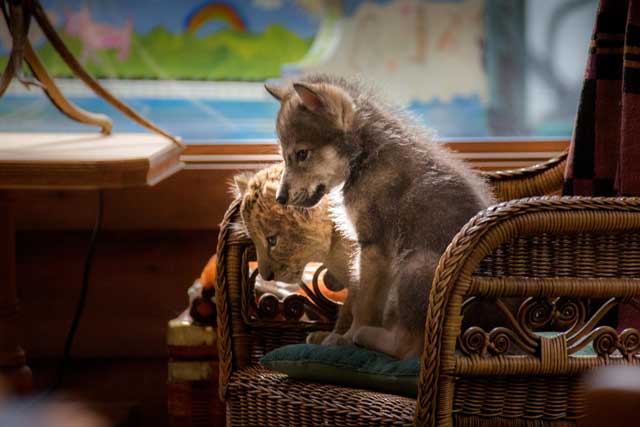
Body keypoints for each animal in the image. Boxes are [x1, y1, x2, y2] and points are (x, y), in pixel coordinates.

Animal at [265, 74, 494, 359]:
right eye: (285, 156)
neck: (364, 158)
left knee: (408, 347)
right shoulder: (362, 252)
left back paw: (366, 337)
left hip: (415, 265)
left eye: (302, 154)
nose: (280, 198)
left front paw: (345, 339)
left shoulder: (374, 248)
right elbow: (354, 299)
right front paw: (330, 336)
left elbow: (363, 306)